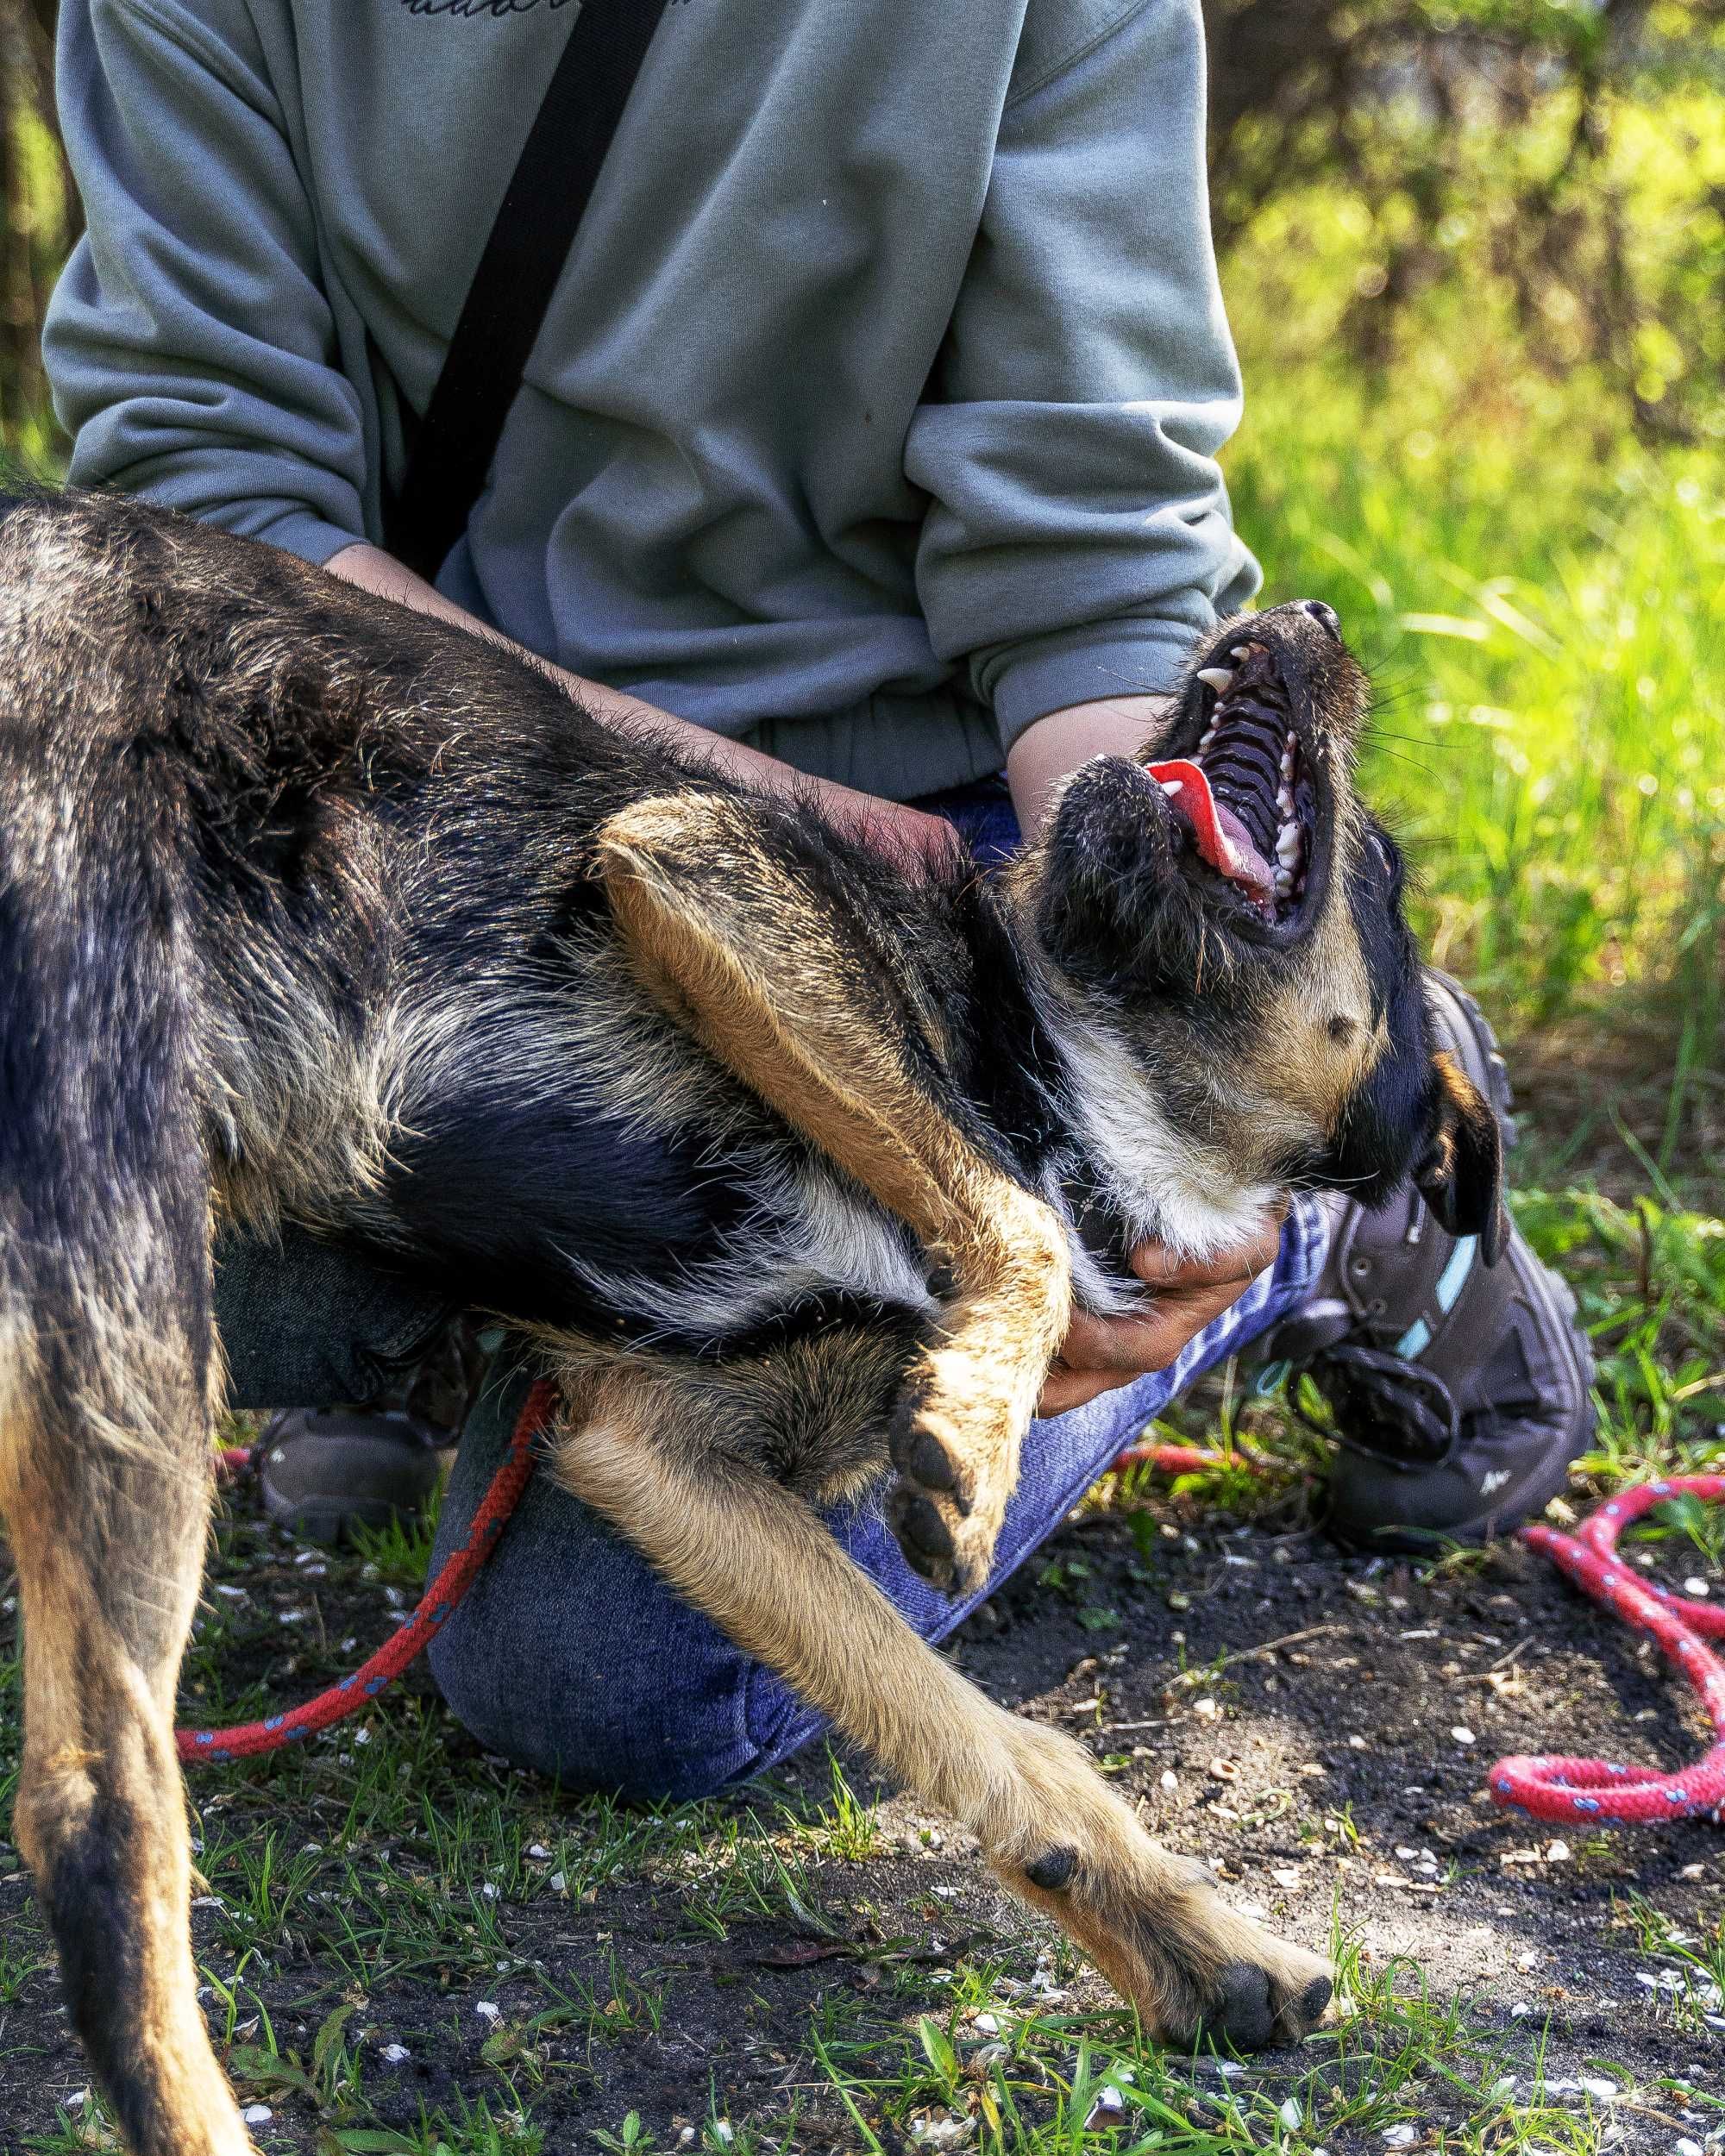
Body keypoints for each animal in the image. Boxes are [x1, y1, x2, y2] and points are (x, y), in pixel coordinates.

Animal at [0, 493, 1501, 2156]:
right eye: (1402, 863)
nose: (1300, 610)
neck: (1089, 1079)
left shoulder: (657, 1452)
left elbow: (972, 1727)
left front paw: (1186, 1938)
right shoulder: (701, 859)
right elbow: (1023, 1231)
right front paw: (975, 1433)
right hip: (121, 1199)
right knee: (95, 1794)